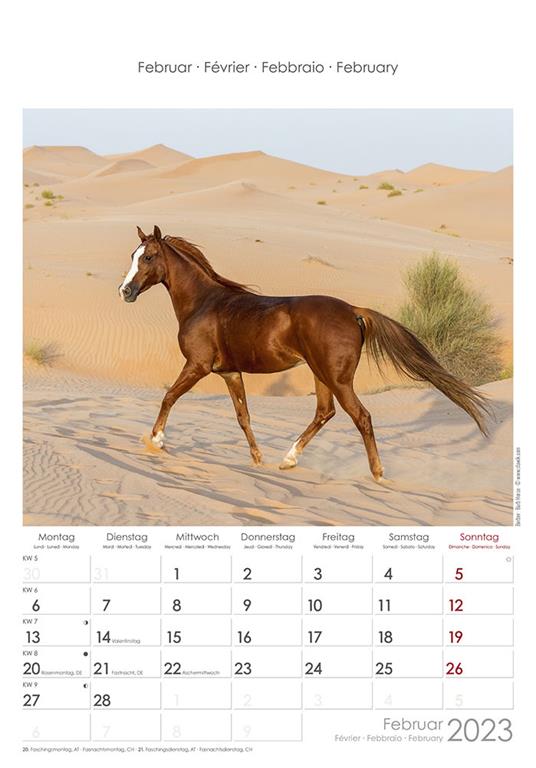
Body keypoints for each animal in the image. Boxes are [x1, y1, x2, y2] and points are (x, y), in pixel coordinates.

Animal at [118, 225, 489, 482]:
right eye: (133, 255)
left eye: (148, 257)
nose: (125, 291)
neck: (203, 303)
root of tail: (353, 310)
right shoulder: (230, 372)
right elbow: (243, 417)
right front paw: (258, 460)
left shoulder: (197, 366)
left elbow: (169, 397)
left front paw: (156, 441)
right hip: (321, 374)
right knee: (325, 413)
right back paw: (288, 459)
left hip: (337, 378)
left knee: (361, 417)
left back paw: (378, 474)